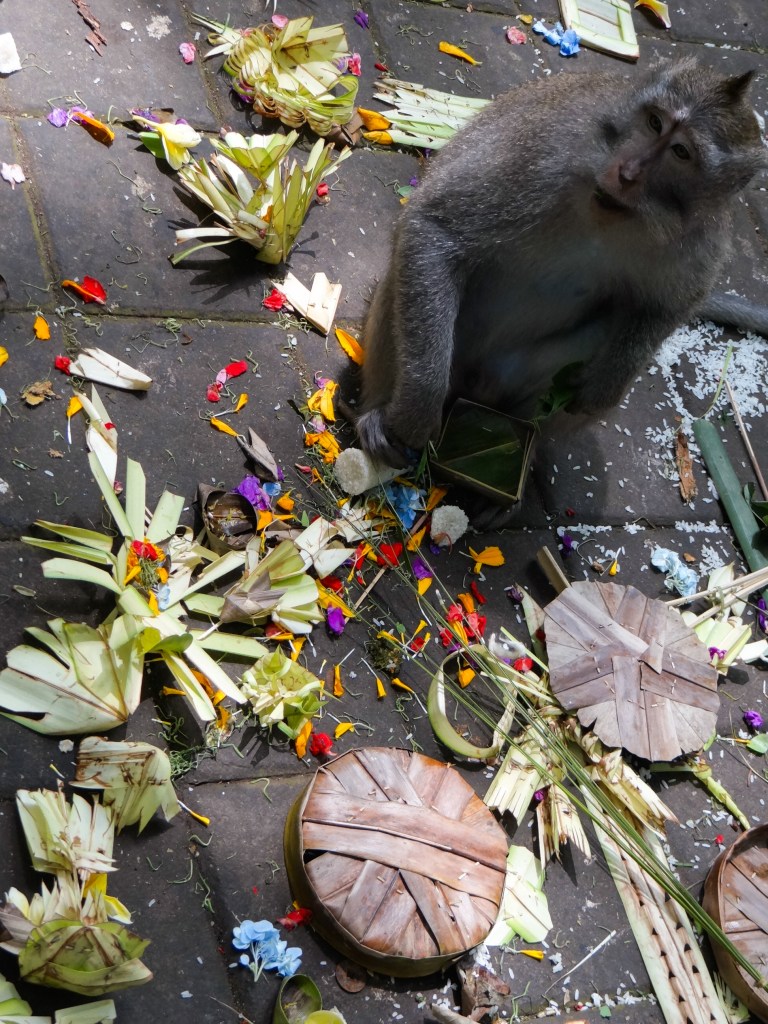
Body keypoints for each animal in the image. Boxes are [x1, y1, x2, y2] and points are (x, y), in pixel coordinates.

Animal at [355, 59, 768, 468]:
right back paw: (376, 415)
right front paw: (418, 407)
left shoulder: (702, 240)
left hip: (509, 376)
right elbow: (435, 227)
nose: (628, 172)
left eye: (681, 152)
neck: (613, 212)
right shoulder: (545, 149)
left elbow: (660, 309)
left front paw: (606, 382)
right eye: (655, 123)